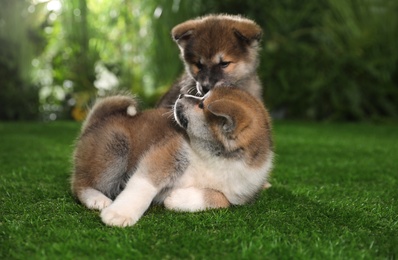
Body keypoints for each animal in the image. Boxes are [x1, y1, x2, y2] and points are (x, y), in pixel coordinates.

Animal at [70, 86, 274, 226]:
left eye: (201, 105)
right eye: (203, 97)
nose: (181, 95)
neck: (213, 159)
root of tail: (94, 123)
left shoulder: (238, 193)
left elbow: (221, 199)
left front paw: (177, 199)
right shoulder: (165, 156)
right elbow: (142, 186)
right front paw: (121, 213)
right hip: (116, 147)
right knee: (79, 184)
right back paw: (97, 198)